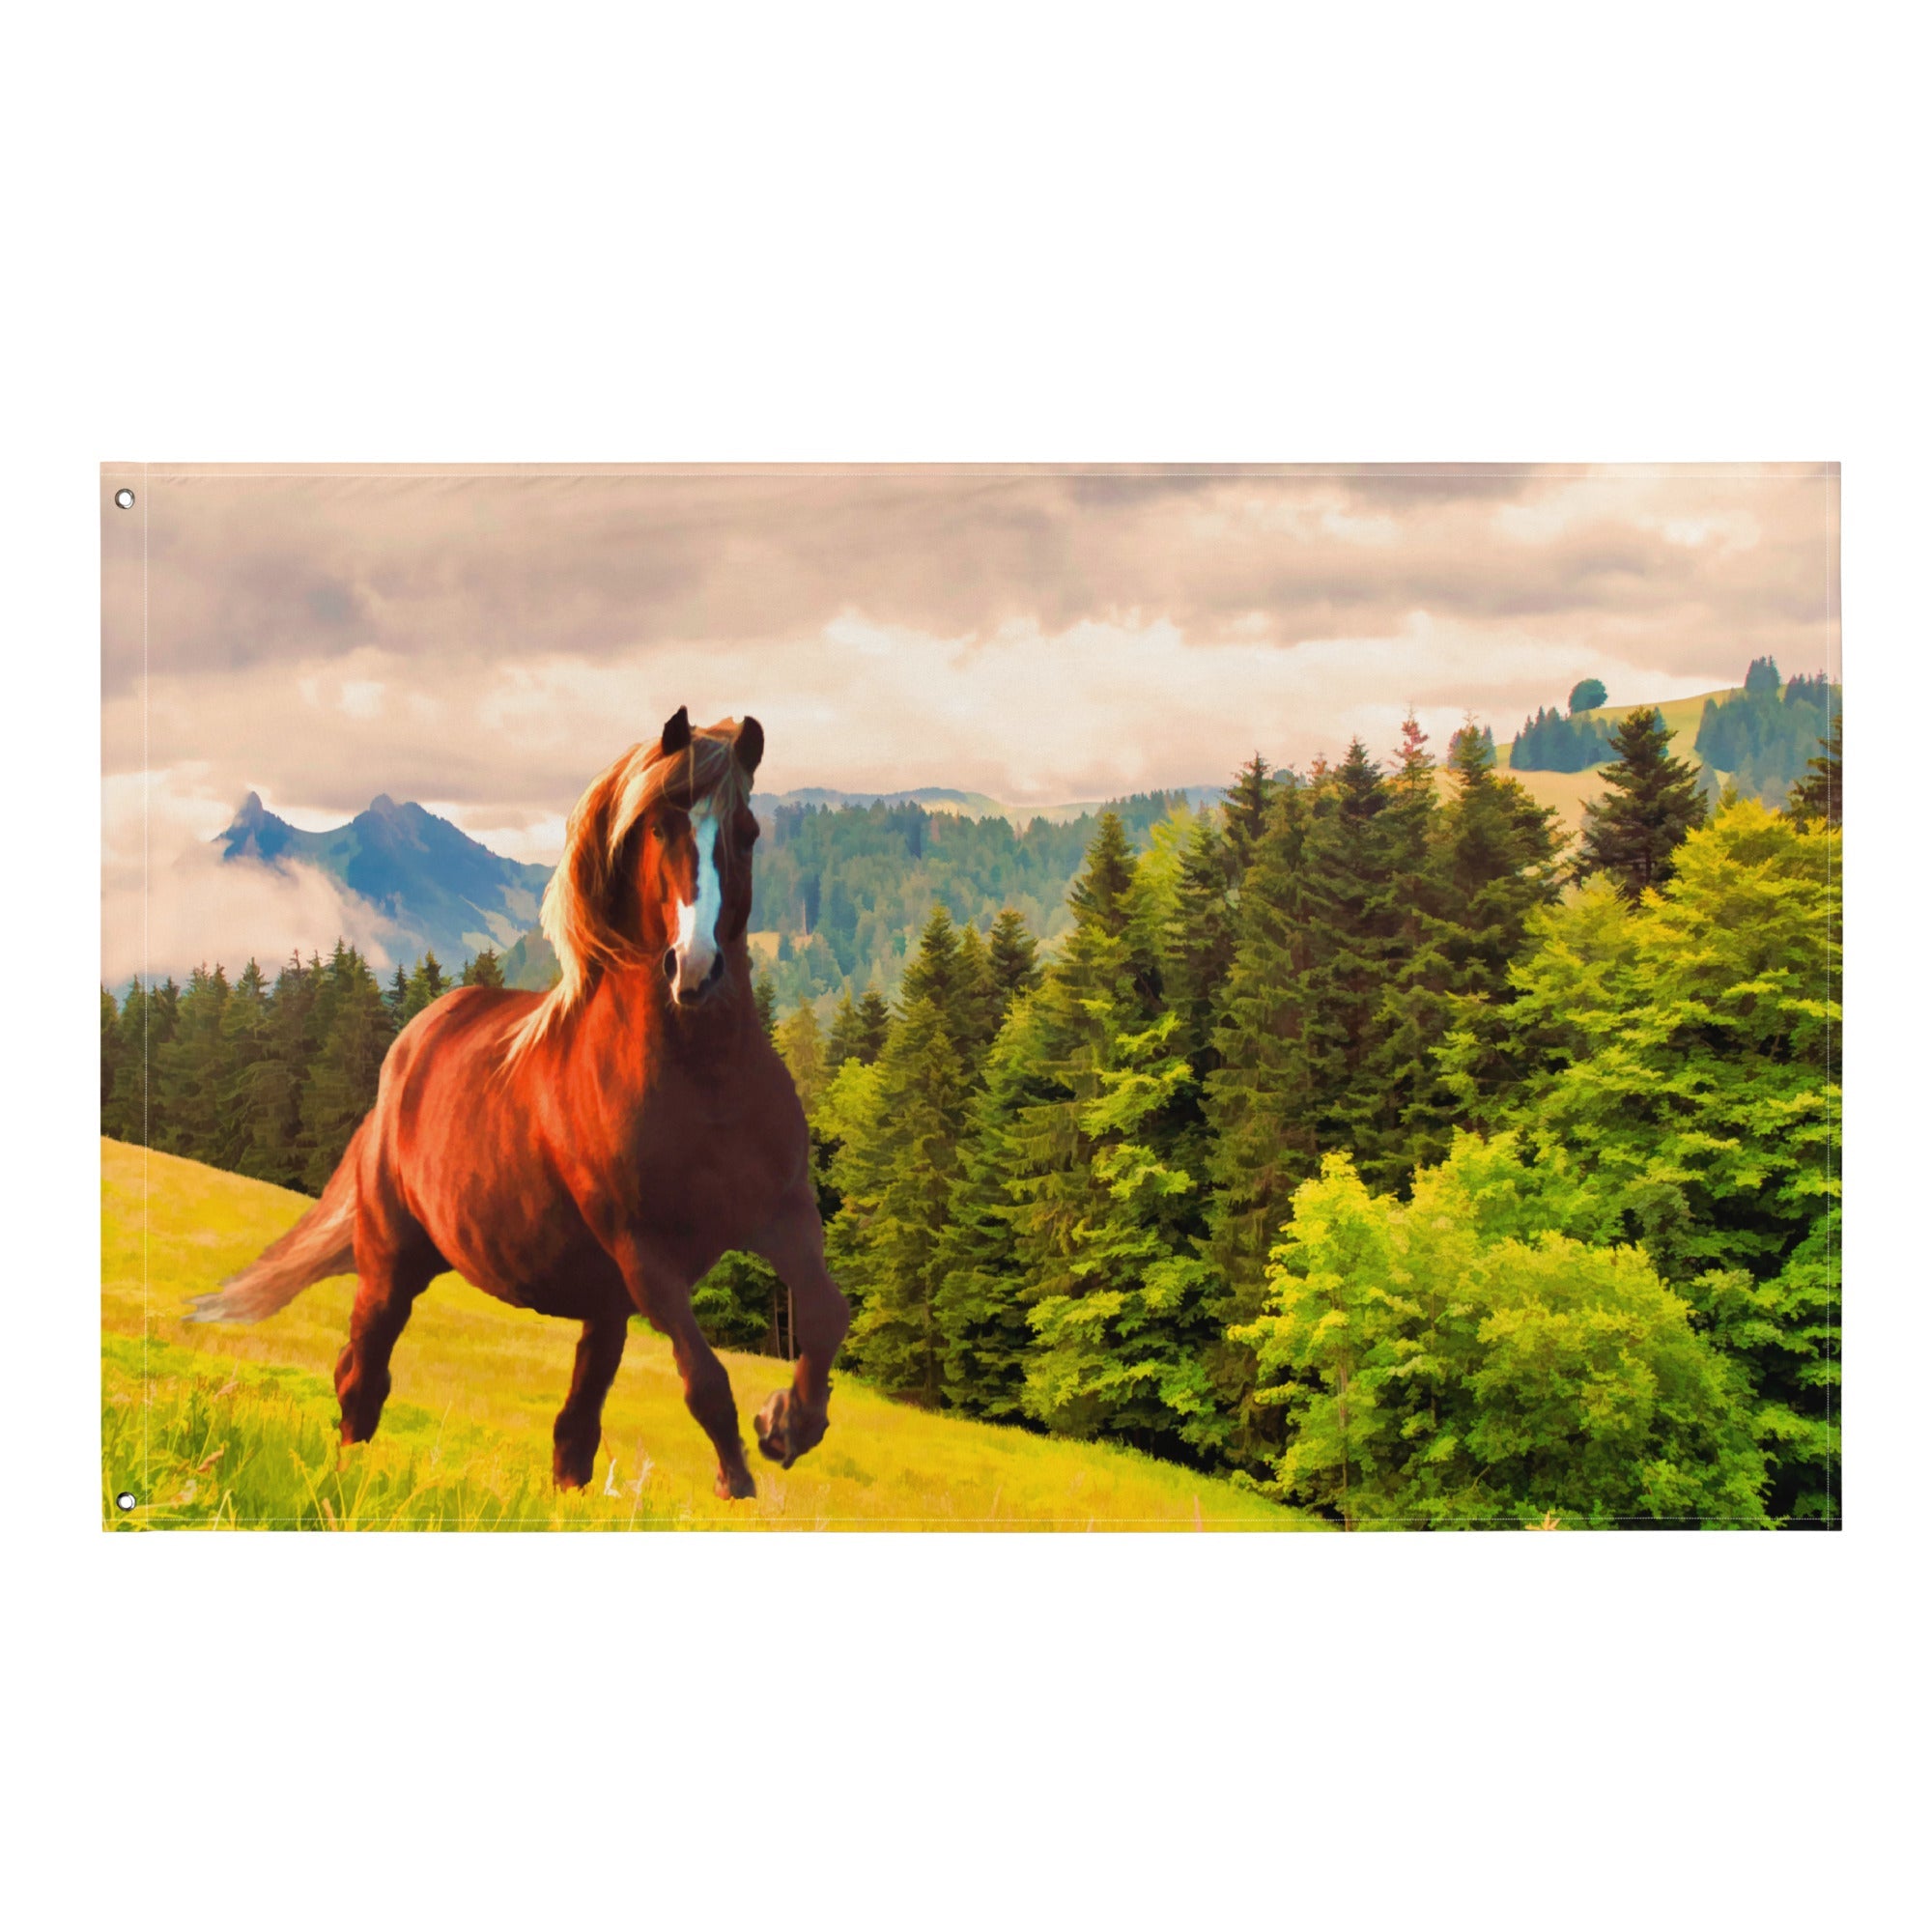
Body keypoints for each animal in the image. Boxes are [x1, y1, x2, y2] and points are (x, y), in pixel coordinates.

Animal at [189, 708, 849, 1502]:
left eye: (746, 831)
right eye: (660, 827)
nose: (694, 971)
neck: (705, 1081)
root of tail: (410, 1048)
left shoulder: (783, 1212)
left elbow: (827, 1314)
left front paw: (790, 1423)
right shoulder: (645, 1254)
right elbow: (707, 1382)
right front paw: (741, 1477)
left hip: (599, 1306)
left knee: (573, 1433)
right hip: (392, 1262)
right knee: (361, 1380)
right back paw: (345, 1485)